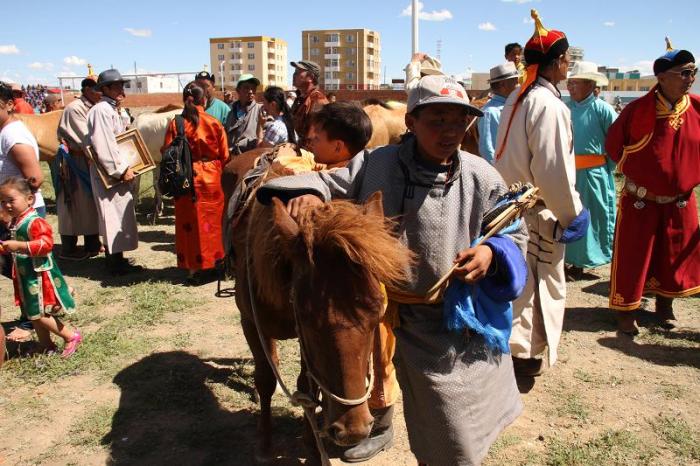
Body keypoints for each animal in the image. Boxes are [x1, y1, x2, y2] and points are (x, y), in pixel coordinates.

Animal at [232, 161, 410, 462]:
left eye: (377, 314)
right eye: (307, 318)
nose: (354, 429)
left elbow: (307, 388)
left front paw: (312, 447)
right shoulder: (253, 324)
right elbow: (266, 379)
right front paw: (265, 446)